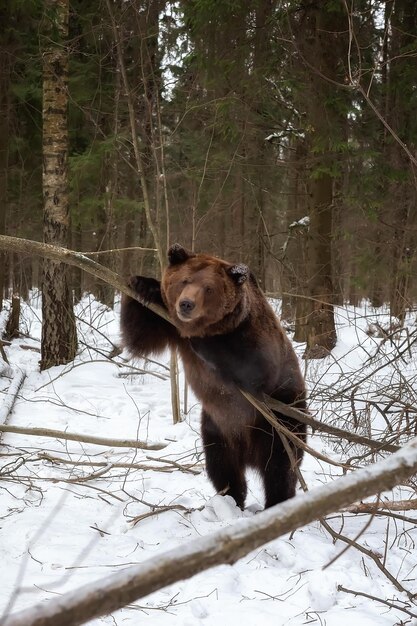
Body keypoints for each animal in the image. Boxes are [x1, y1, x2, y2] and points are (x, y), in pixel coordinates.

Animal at [120, 244, 306, 508]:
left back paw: (277, 503)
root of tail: (248, 453)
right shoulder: (169, 325)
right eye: (184, 280)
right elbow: (139, 335)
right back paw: (230, 498)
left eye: (209, 288)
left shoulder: (254, 335)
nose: (186, 304)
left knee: (280, 467)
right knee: (222, 467)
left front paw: (204, 342)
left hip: (279, 419)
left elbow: (254, 369)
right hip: (217, 427)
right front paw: (142, 284)